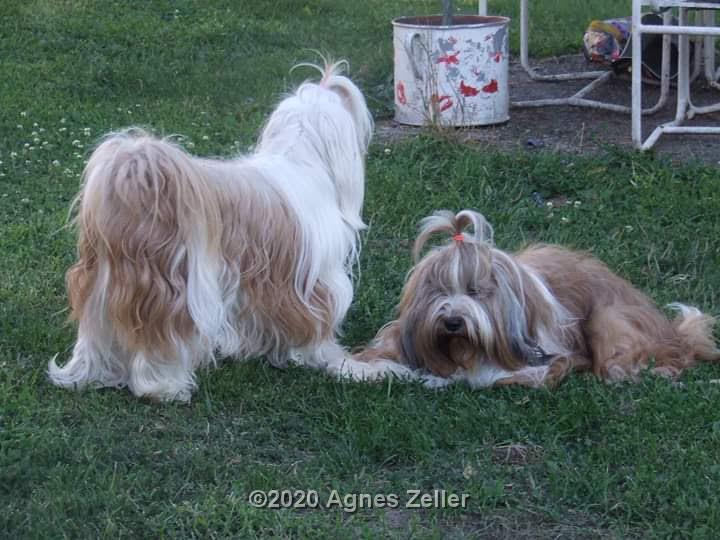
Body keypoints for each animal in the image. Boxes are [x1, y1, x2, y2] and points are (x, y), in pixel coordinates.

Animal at [354, 210, 720, 388]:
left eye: (476, 291)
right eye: (440, 290)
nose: (453, 321)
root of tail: (672, 331)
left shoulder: (548, 358)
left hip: (610, 318)